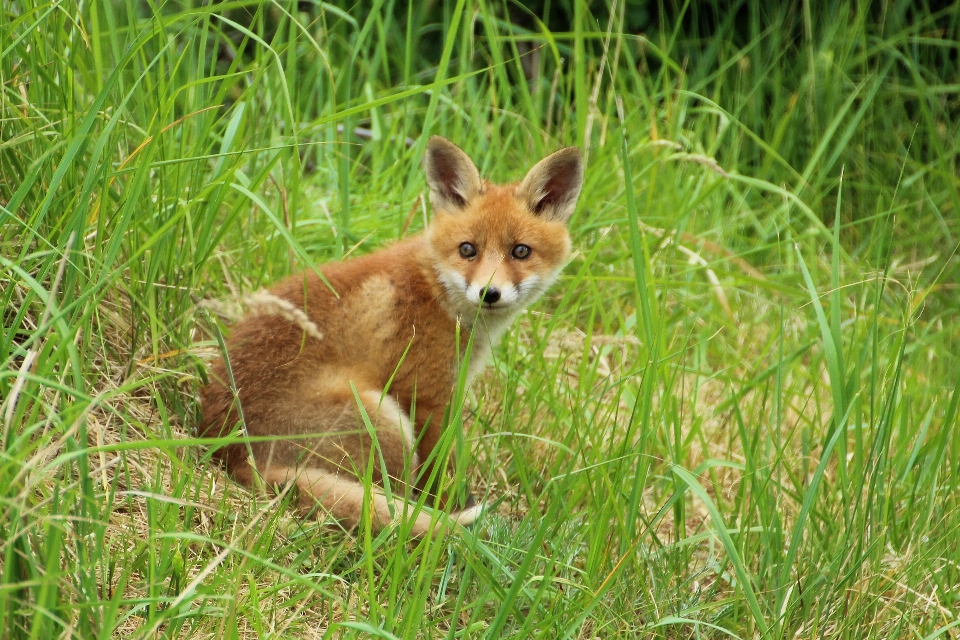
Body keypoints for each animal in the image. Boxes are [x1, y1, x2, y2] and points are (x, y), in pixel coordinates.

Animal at [199, 138, 580, 536]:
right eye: (467, 249)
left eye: (520, 251)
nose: (489, 293)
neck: (437, 290)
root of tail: (237, 458)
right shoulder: (426, 397)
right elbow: (438, 473)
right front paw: (450, 507)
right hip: (386, 419)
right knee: (393, 497)